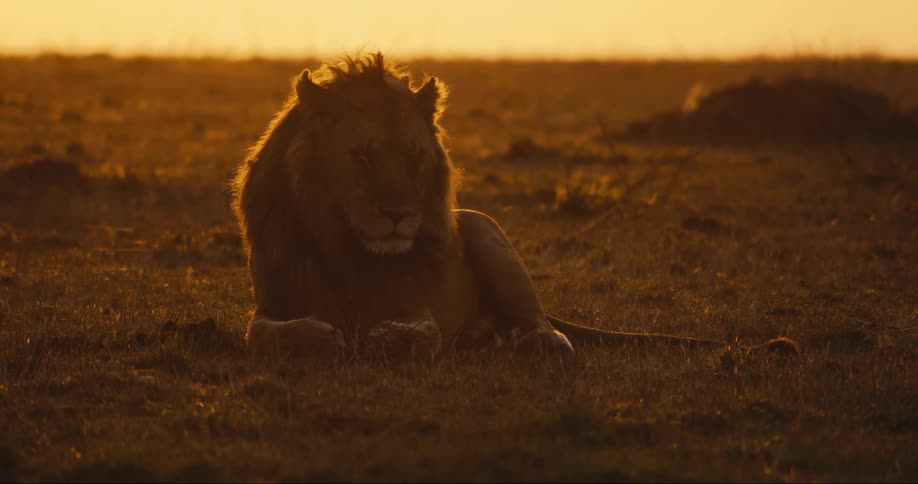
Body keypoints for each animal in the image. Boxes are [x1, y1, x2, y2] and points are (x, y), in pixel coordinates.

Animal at [232, 53, 798, 358]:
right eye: (363, 155)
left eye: (414, 156)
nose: (398, 216)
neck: (347, 246)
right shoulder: (272, 301)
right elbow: (259, 334)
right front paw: (320, 337)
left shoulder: (426, 299)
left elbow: (422, 328)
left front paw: (392, 337)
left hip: (484, 230)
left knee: (542, 324)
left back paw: (530, 342)